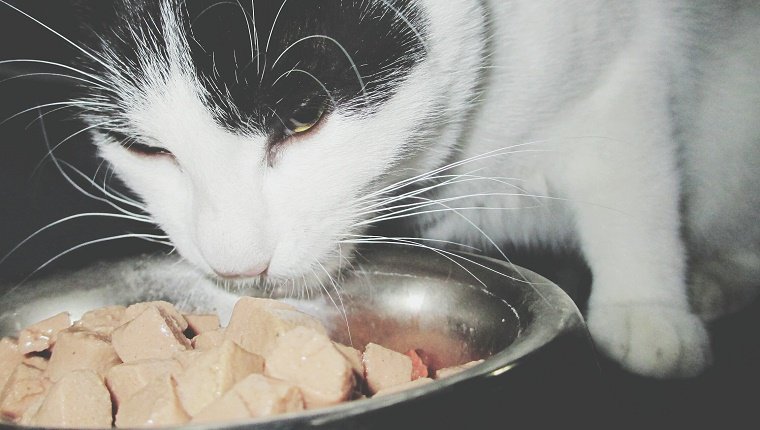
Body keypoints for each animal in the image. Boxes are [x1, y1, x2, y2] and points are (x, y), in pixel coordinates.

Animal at [5, 0, 760, 378]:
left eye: (303, 111)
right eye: (143, 147)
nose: (237, 264)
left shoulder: (622, 59)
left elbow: (633, 179)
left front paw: (647, 308)